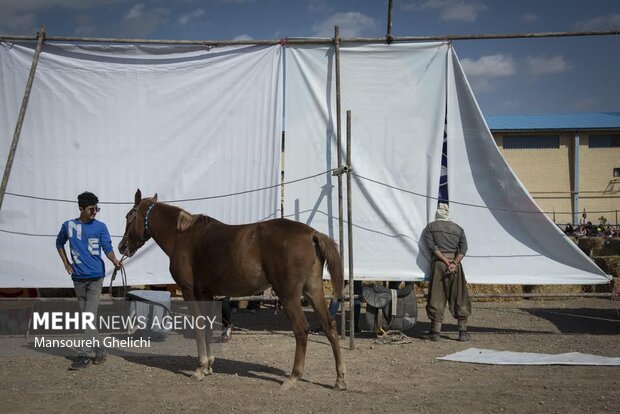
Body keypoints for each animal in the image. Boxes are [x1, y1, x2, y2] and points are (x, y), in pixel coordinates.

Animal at [118, 189, 346, 390]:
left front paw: (200, 368)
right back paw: (340, 378)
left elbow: (199, 327)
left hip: (289, 295)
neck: (182, 236)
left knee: (301, 330)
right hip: (313, 291)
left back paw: (293, 377)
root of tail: (312, 234)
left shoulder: (190, 292)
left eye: (129, 216)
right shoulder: (207, 294)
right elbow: (208, 327)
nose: (122, 247)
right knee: (330, 326)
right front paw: (208, 365)